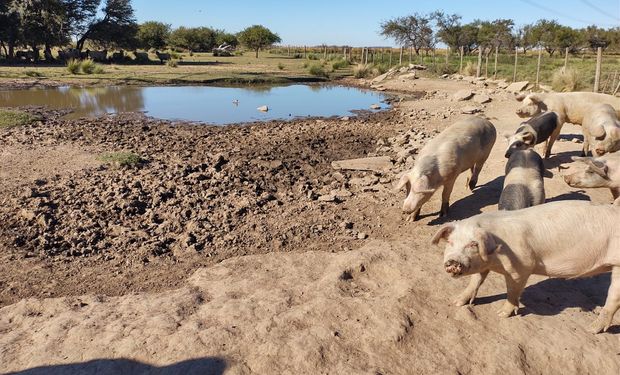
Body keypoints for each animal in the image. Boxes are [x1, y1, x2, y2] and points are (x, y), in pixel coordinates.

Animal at [434, 201, 620, 334]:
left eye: (473, 244)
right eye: (450, 242)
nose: (453, 261)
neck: (495, 255)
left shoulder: (522, 266)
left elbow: (512, 291)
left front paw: (501, 314)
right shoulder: (484, 265)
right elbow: (476, 281)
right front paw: (456, 302)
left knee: (613, 298)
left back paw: (592, 329)